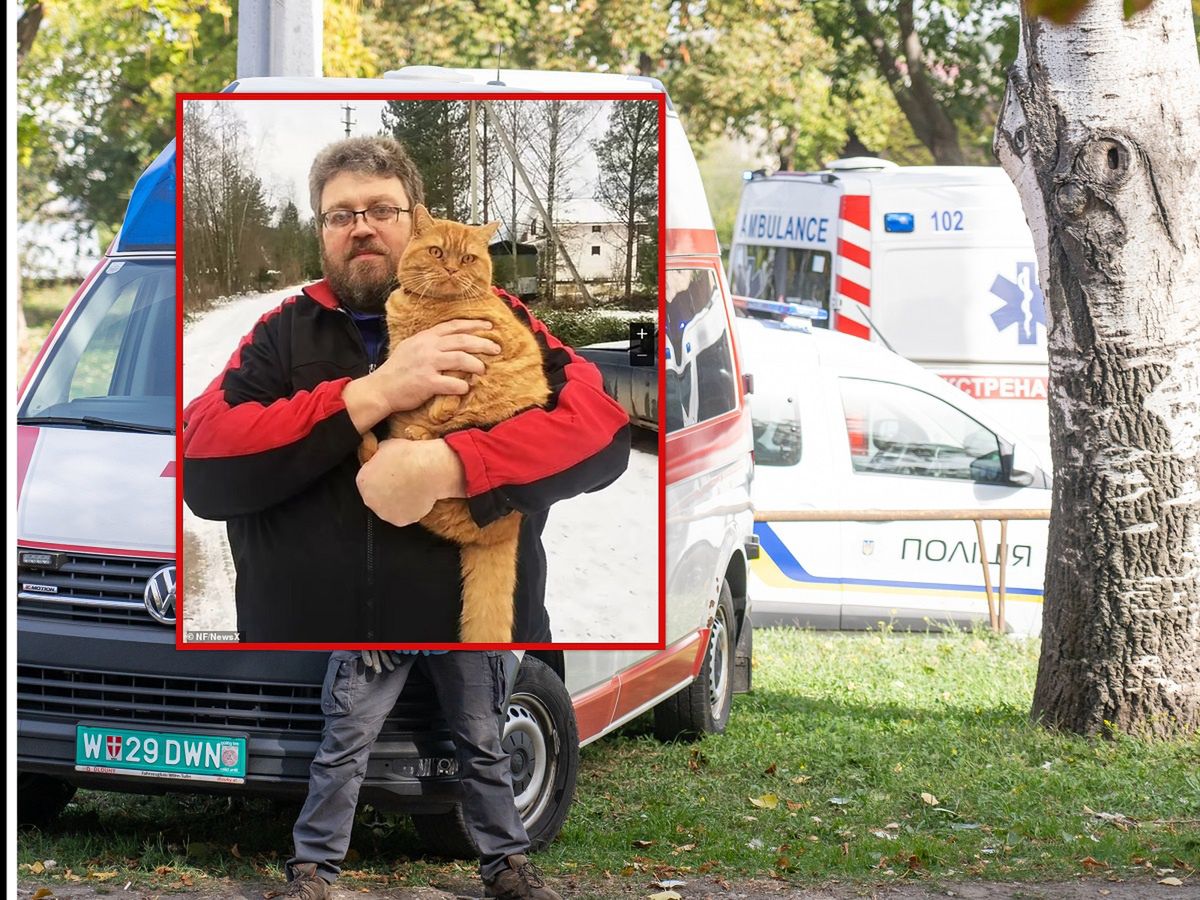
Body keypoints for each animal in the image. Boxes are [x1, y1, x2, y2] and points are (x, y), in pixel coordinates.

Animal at [360, 207, 552, 643]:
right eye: (436, 252)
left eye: (467, 258)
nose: (450, 268)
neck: (428, 311)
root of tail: (505, 530)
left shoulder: (482, 344)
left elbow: (455, 381)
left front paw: (438, 407)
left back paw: (410, 434)